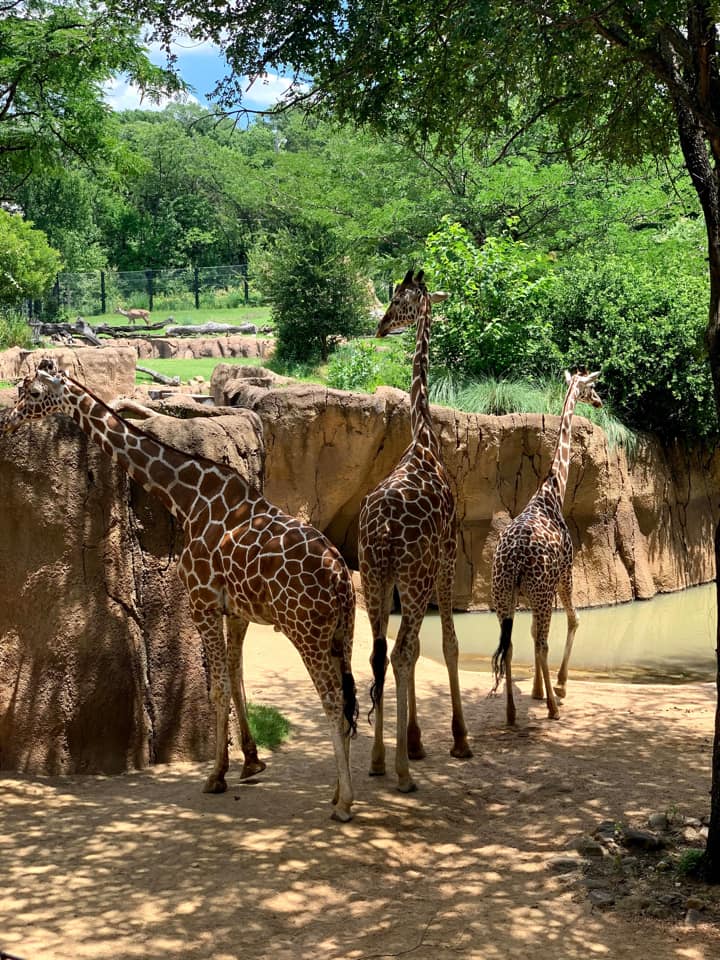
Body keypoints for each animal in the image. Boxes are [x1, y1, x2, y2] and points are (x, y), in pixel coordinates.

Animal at [1, 356, 358, 820]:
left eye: (33, 391)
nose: (8, 419)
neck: (185, 498)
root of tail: (342, 579)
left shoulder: (201, 599)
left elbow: (217, 684)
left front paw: (216, 775)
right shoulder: (237, 610)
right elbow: (236, 677)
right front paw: (251, 762)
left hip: (307, 632)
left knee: (333, 701)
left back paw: (344, 803)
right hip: (342, 634)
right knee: (350, 698)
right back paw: (335, 792)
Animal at [490, 370, 600, 728]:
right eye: (592, 387)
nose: (600, 401)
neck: (552, 491)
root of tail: (514, 560)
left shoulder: (534, 593)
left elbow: (529, 632)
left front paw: (538, 690)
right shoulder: (564, 576)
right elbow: (573, 621)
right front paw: (558, 687)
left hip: (502, 595)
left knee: (509, 645)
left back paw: (511, 713)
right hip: (540, 590)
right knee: (543, 643)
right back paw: (553, 707)